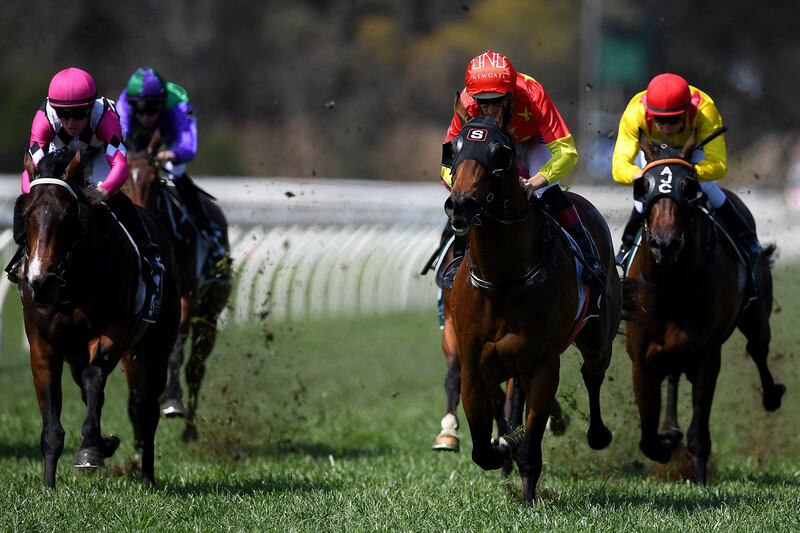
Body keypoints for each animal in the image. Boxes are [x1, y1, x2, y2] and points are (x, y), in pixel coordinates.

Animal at [17, 149, 181, 486]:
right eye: (25, 215)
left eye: (68, 216)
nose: (40, 280)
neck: (72, 284)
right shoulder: (42, 345)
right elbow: (52, 421)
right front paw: (48, 485)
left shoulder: (112, 332)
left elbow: (95, 379)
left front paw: (90, 450)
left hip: (156, 346)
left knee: (146, 408)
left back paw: (147, 475)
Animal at [125, 133, 231, 440]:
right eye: (124, 179)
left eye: (152, 180)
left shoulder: (186, 296)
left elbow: (177, 347)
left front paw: (172, 398)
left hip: (209, 313)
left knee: (195, 366)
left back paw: (189, 430)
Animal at [444, 114, 620, 500]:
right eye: (454, 148)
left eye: (499, 152)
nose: (460, 205)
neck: (503, 277)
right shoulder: (474, 365)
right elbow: (482, 449)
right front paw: (501, 447)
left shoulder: (542, 365)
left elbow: (530, 441)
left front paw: (527, 491)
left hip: (598, 335)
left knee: (593, 372)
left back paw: (598, 434)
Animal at [620, 136, 784, 482]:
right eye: (644, 186)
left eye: (689, 186)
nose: (665, 243)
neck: (671, 284)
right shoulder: (640, 356)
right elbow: (647, 433)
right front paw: (664, 443)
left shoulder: (707, 353)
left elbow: (699, 429)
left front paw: (699, 477)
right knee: (672, 373)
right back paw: (670, 430)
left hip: (756, 315)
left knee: (758, 348)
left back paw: (772, 394)